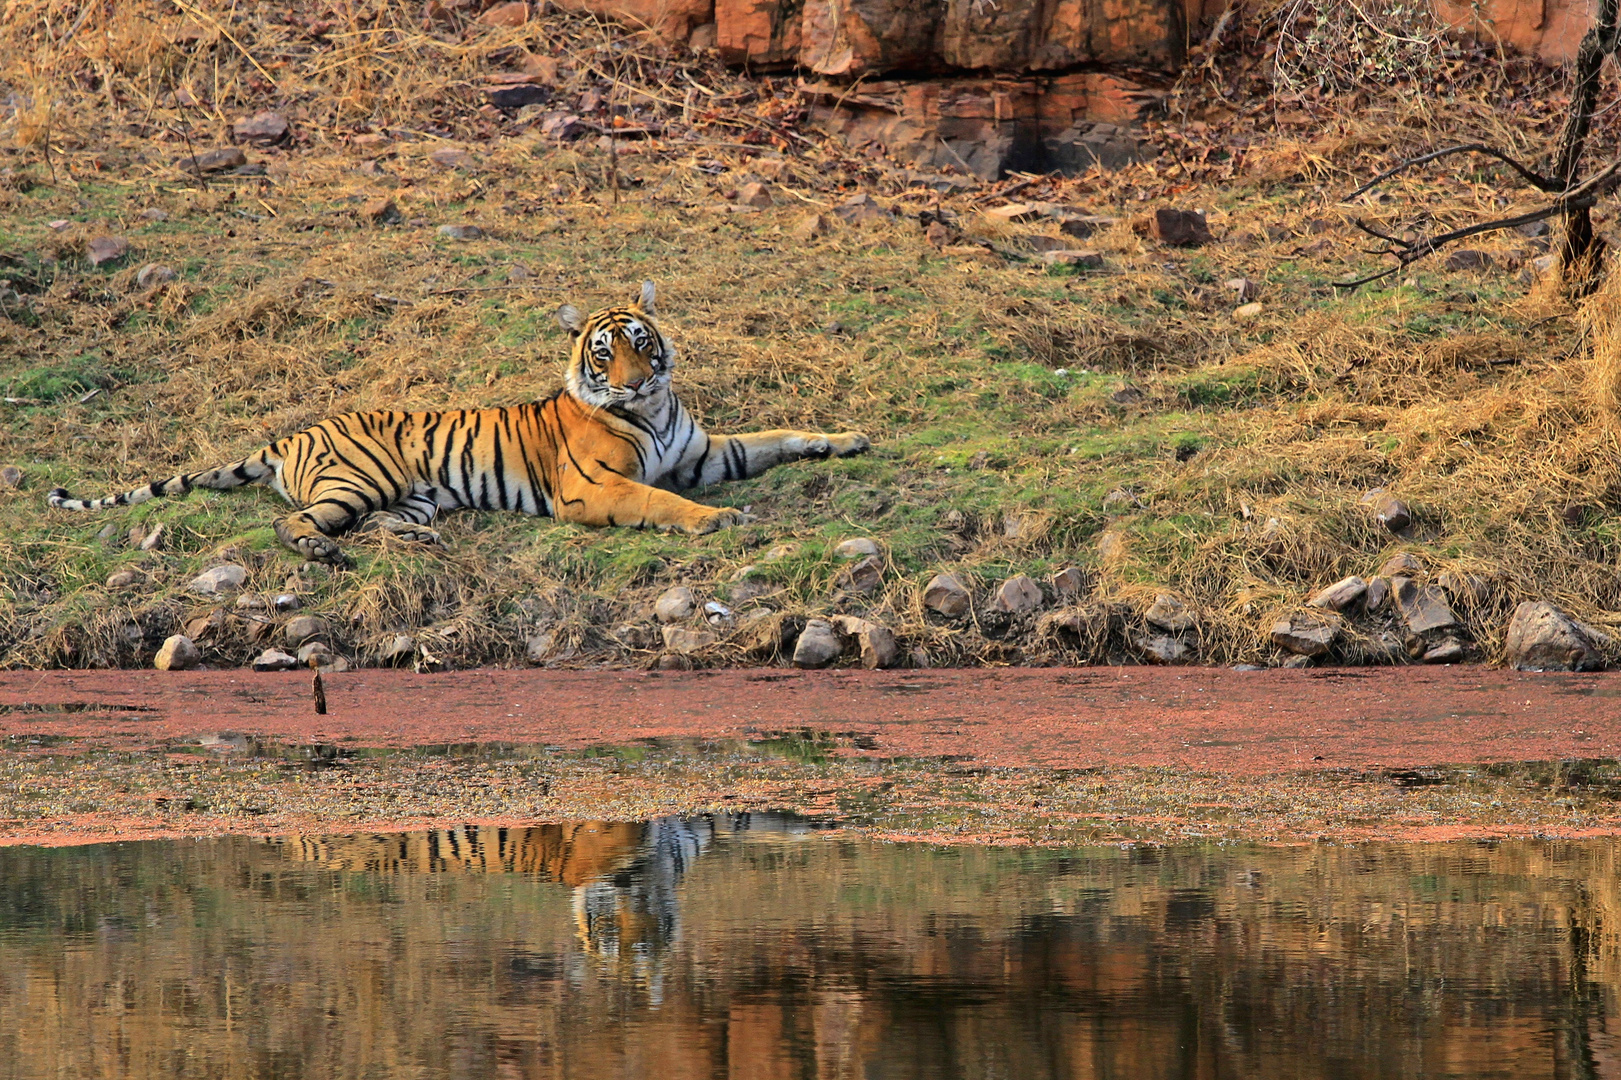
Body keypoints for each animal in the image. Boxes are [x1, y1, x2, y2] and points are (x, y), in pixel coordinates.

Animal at [44, 277, 868, 564]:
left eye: (641, 343)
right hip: (363, 479)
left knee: (374, 524)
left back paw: (419, 539)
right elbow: (659, 500)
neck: (656, 411)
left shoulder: (703, 451)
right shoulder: (596, 488)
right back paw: (318, 553)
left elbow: (775, 437)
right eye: (603, 355)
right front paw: (717, 520)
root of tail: (291, 433)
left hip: (406, 494)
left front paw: (845, 437)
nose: (632, 385)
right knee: (293, 524)